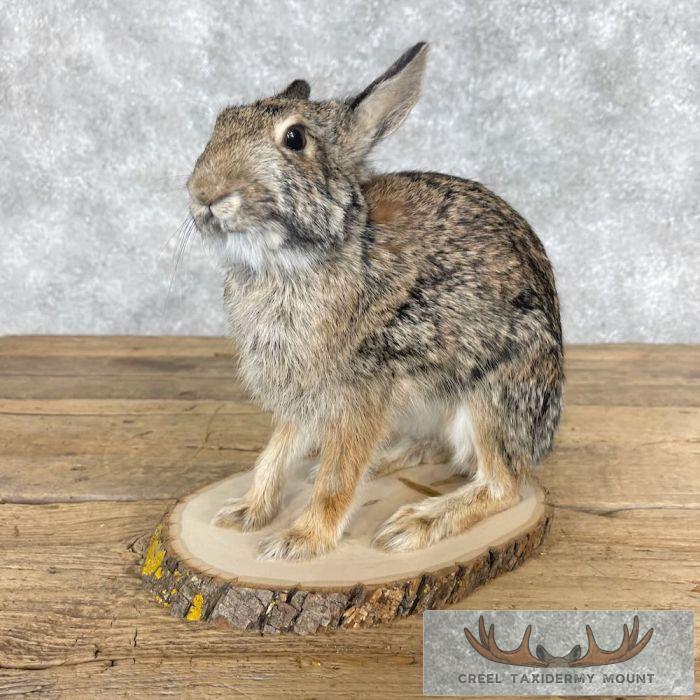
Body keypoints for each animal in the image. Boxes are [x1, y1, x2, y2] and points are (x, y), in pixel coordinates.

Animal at [186, 42, 564, 561]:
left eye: (295, 138)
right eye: (221, 120)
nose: (203, 194)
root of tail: (541, 439)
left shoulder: (362, 390)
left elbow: (338, 475)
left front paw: (300, 540)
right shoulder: (304, 393)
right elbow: (277, 449)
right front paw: (247, 511)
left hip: (493, 394)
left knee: (500, 484)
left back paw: (415, 524)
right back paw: (387, 460)